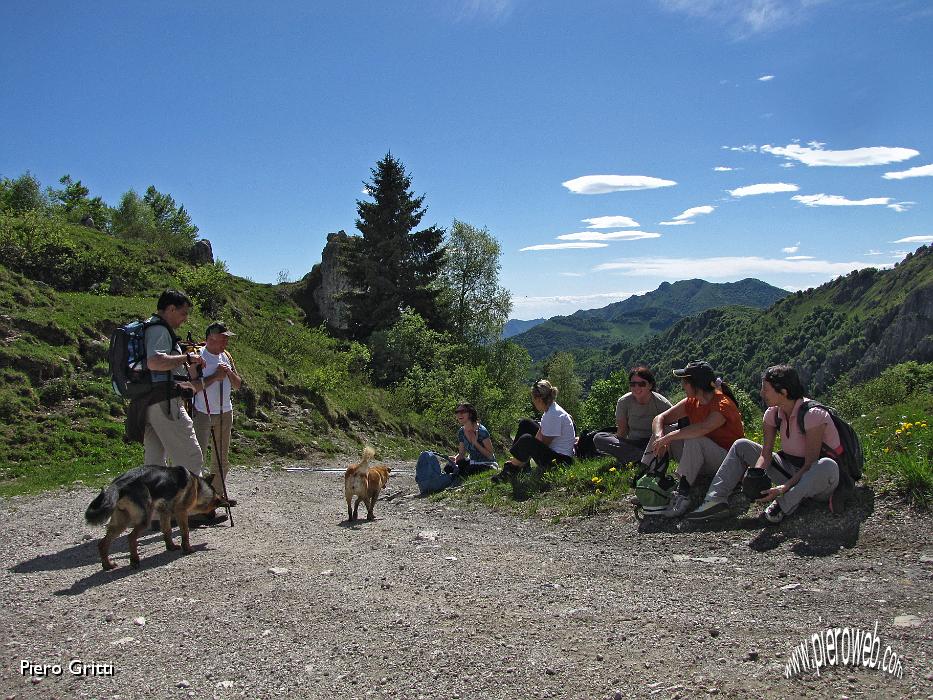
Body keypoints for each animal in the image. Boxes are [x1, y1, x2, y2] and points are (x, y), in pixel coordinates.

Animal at [84, 464, 228, 568]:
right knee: (131, 538)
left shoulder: (164, 512)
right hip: (143, 520)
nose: (213, 516)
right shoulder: (180, 512)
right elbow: (185, 532)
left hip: (121, 522)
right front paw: (187, 549)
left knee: (102, 543)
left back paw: (107, 565)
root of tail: (119, 484)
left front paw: (171, 547)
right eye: (213, 507)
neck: (198, 487)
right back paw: (134, 560)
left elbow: (167, 531)